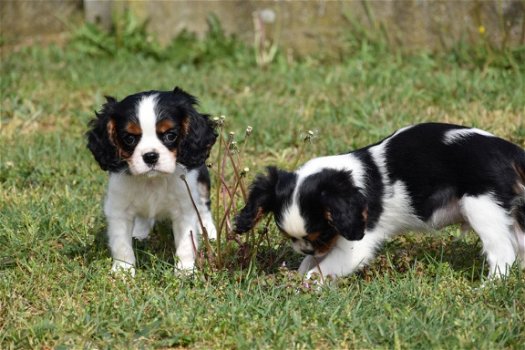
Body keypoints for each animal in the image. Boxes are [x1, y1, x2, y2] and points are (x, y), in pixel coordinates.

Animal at [87, 86, 216, 274]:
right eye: (129, 138)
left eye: (170, 135)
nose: (150, 156)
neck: (152, 180)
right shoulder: (119, 208)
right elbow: (121, 243)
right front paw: (123, 271)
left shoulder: (184, 207)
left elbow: (186, 242)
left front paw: (184, 271)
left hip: (202, 181)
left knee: (204, 206)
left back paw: (209, 231)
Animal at [234, 123, 524, 278]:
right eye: (291, 239)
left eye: (324, 232)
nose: (308, 250)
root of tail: (512, 152)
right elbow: (310, 265)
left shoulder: (357, 245)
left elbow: (321, 270)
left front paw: (304, 286)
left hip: (482, 208)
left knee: (503, 252)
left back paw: (489, 286)